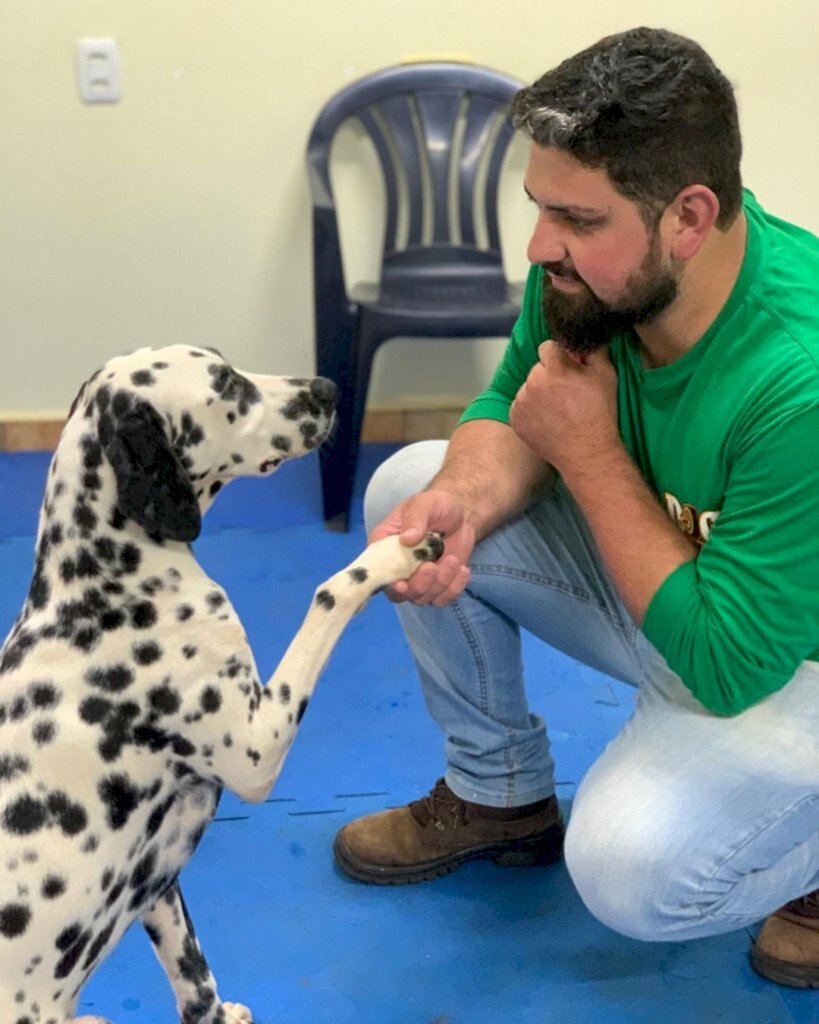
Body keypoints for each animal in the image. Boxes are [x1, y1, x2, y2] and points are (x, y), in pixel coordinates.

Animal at [0, 346, 442, 1024]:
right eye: (227, 384)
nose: (327, 388)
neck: (103, 585)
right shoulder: (257, 747)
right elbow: (332, 590)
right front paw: (393, 555)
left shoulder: (157, 879)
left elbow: (196, 981)